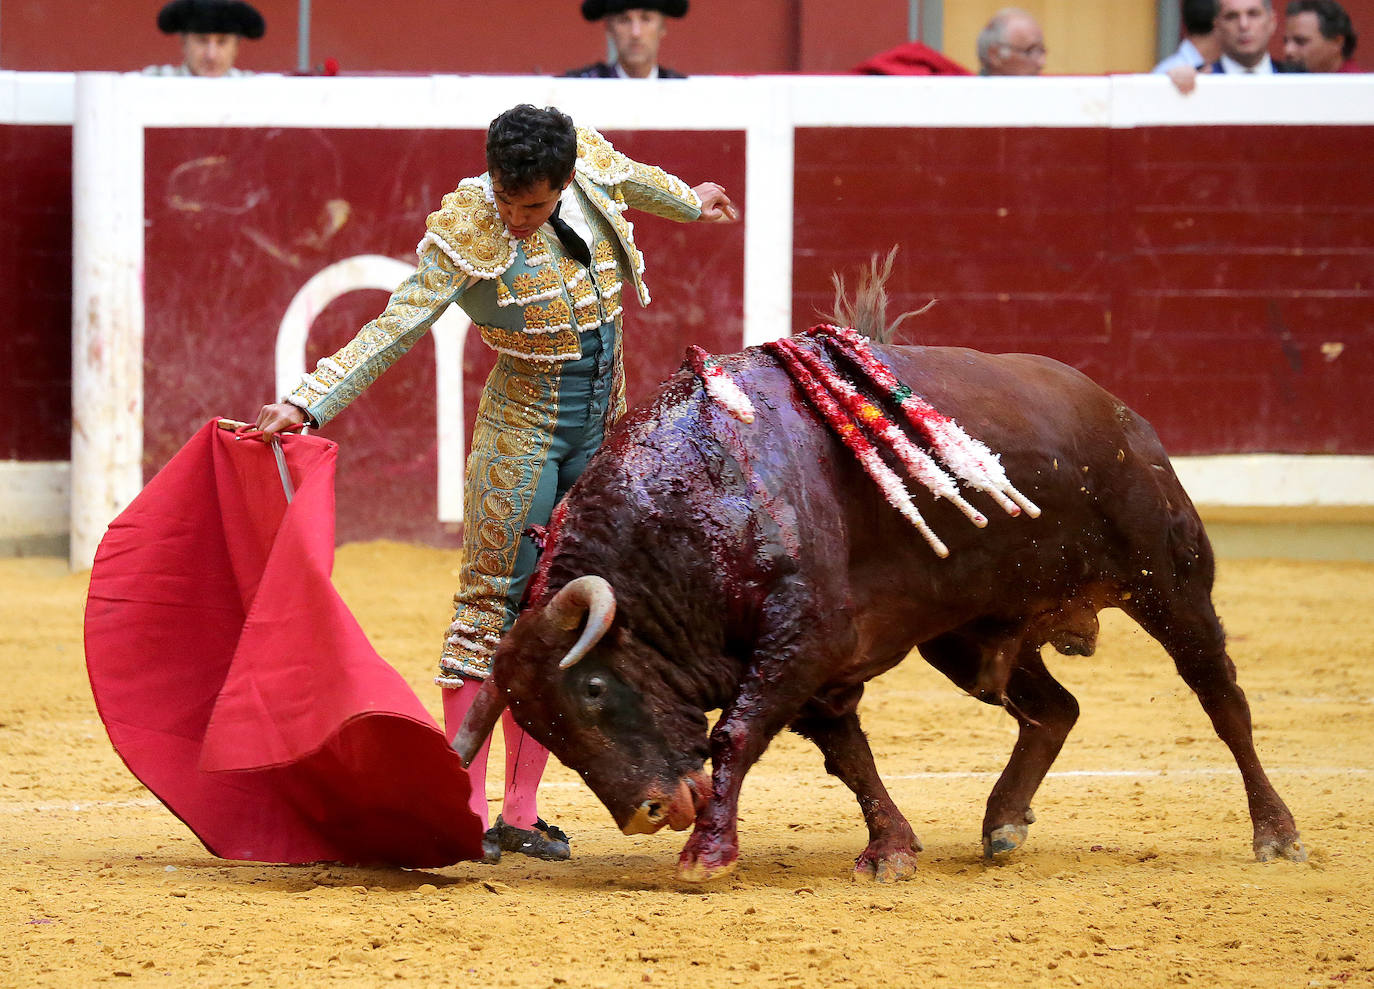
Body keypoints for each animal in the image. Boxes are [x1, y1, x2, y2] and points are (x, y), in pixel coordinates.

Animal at [447, 267, 1297, 879]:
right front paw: (891, 848)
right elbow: (847, 756)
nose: (646, 813)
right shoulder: (818, 668)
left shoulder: (800, 641)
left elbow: (737, 734)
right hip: (970, 635)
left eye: (592, 688)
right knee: (1055, 709)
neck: (696, 508)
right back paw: (1002, 822)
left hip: (1169, 581)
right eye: (540, 726)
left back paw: (1277, 833)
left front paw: (706, 857)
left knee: (1222, 698)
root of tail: (1122, 414)